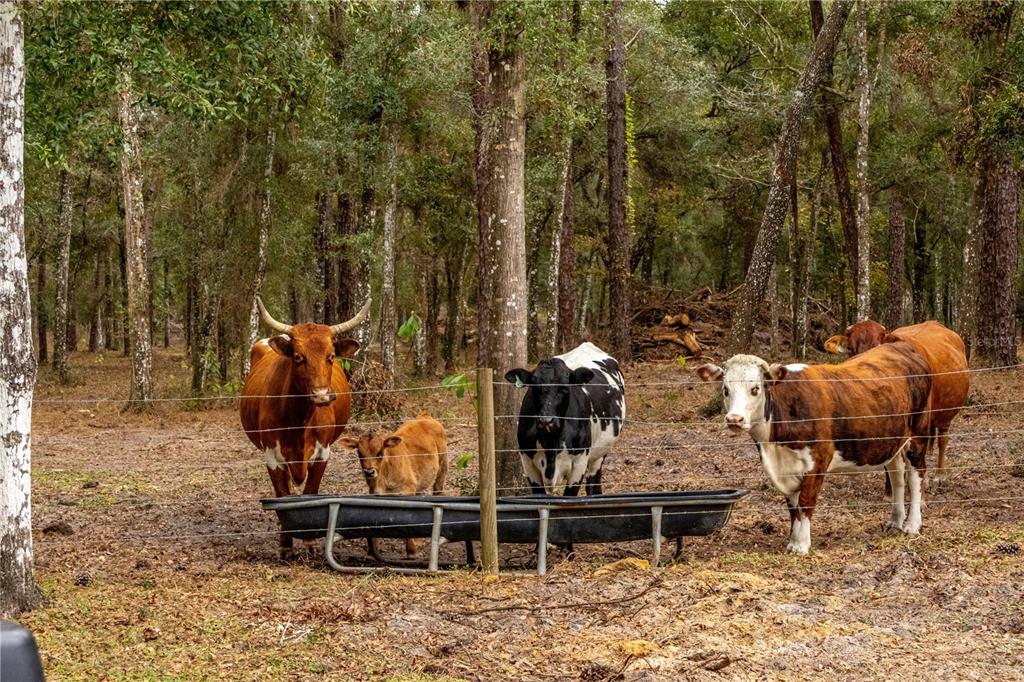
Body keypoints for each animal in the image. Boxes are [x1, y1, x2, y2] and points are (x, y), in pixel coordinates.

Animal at [240, 295, 370, 556]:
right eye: (299, 357)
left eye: (331, 356)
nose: (321, 396)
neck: (299, 421)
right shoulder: (272, 455)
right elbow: (283, 498)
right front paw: (285, 546)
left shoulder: (323, 453)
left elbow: (311, 493)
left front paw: (309, 542)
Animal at [340, 414, 448, 558]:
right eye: (360, 453)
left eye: (380, 452)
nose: (369, 472)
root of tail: (425, 416)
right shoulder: (375, 494)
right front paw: (372, 550)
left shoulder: (407, 491)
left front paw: (411, 551)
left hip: (442, 466)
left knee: (438, 489)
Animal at [505, 342, 625, 497]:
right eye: (534, 387)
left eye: (564, 388)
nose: (546, 421)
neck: (551, 443)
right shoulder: (528, 464)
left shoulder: (579, 463)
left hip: (599, 454)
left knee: (593, 485)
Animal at [697, 342, 933, 554]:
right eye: (725, 389)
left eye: (755, 389)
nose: (734, 419)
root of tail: (902, 348)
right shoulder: (787, 467)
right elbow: (793, 507)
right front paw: (793, 541)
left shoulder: (818, 460)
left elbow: (806, 502)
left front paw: (802, 545)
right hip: (893, 439)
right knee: (897, 476)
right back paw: (895, 521)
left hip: (918, 435)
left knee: (915, 476)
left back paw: (912, 525)